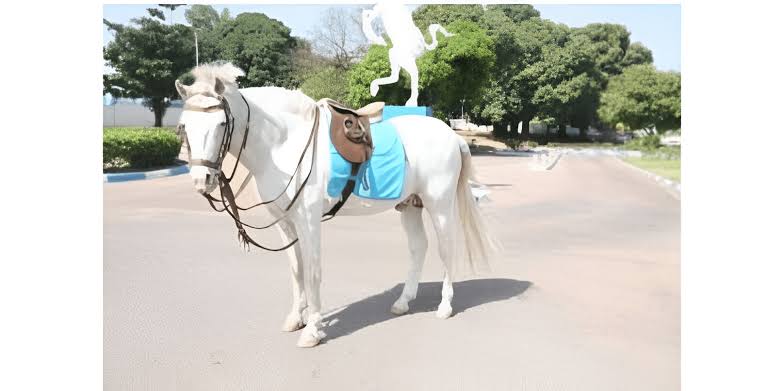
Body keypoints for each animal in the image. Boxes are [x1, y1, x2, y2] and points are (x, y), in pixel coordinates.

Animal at [176, 63, 496, 350]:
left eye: (221, 124)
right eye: (184, 127)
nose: (202, 180)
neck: (284, 144)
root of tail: (452, 136)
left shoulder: (308, 221)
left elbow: (313, 271)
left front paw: (313, 330)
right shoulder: (285, 222)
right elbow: (296, 269)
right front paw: (297, 318)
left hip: (439, 205)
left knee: (446, 248)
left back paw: (444, 306)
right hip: (410, 206)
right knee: (419, 247)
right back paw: (403, 302)